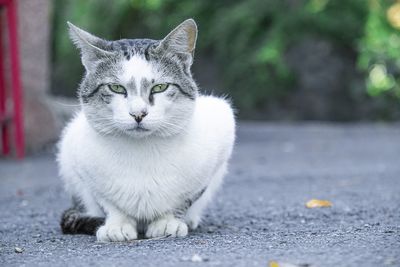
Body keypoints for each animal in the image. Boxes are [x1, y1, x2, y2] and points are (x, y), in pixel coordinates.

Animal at [57, 17, 236, 242]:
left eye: (160, 87)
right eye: (116, 88)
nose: (138, 114)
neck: (142, 151)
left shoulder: (219, 141)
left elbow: (185, 200)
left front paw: (167, 222)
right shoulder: (80, 163)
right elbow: (106, 201)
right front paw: (117, 224)